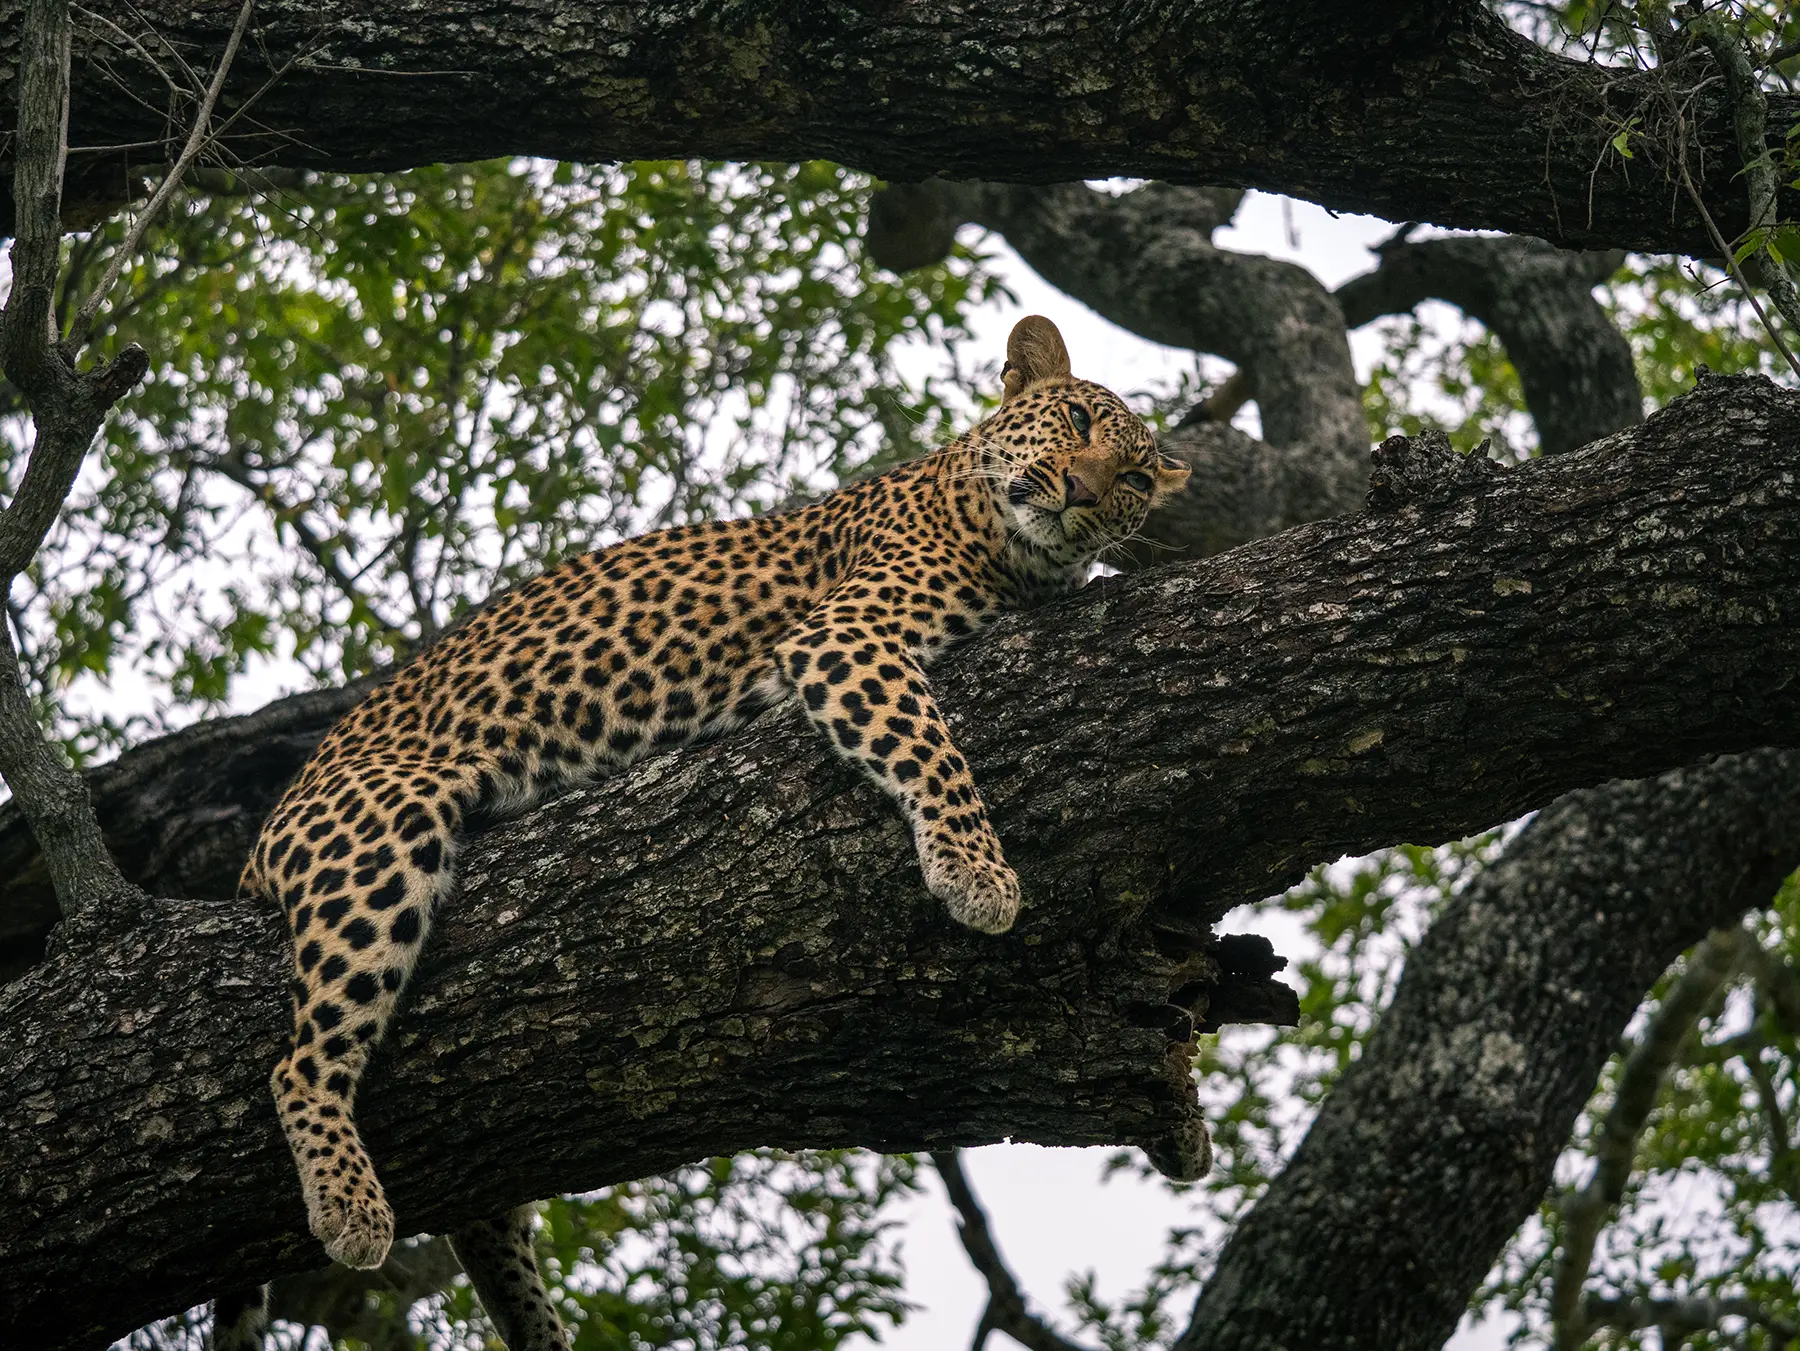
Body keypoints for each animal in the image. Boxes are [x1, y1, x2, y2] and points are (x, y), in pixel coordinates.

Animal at [236, 315, 1192, 1350]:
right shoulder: (847, 636)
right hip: (376, 833)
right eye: (1077, 419)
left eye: (1136, 480)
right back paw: (349, 1203)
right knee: (299, 1061)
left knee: (484, 1216)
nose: (1086, 492)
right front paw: (978, 872)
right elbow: (931, 745)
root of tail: (269, 828)